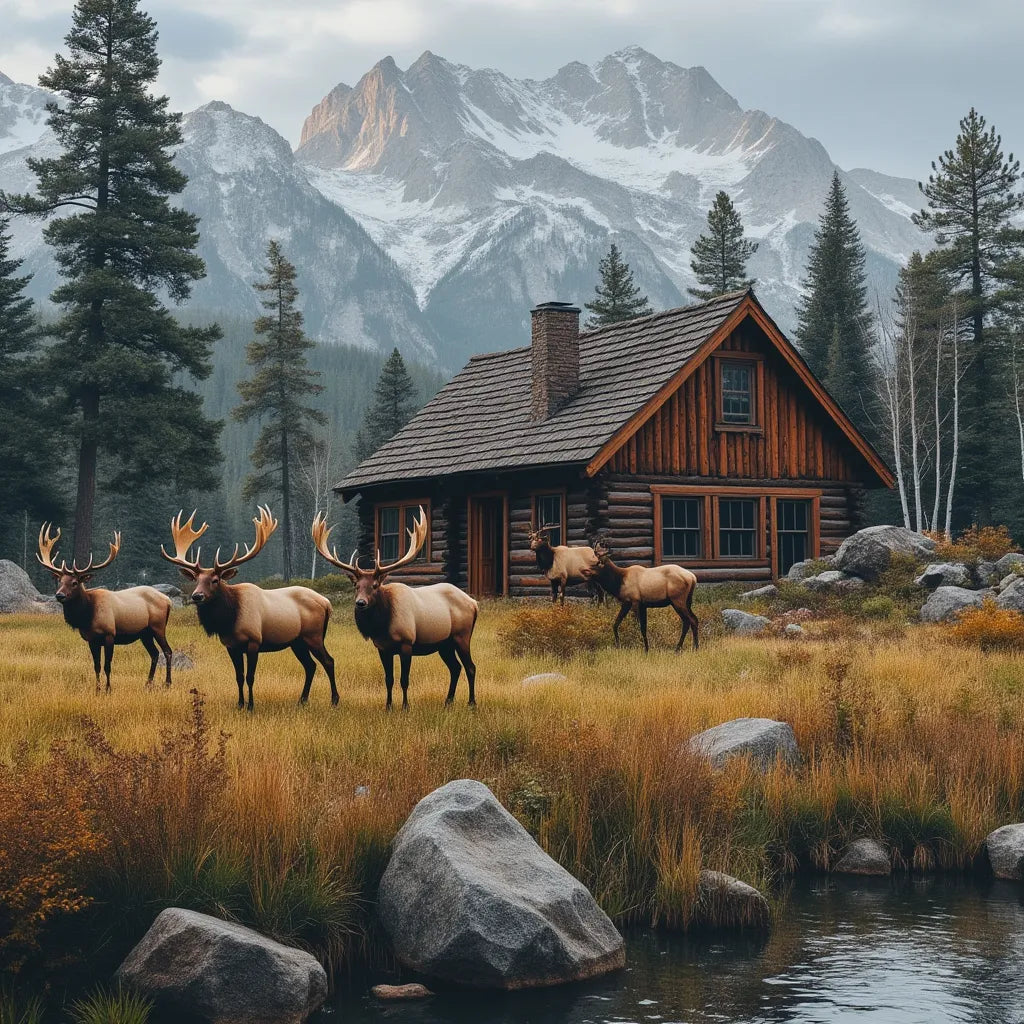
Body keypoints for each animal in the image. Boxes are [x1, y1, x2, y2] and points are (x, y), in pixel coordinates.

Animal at [37, 524, 174, 692]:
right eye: (60, 581)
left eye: (75, 582)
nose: (59, 595)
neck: (86, 616)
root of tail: (168, 600)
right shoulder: (92, 639)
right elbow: (96, 666)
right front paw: (97, 689)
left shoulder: (109, 634)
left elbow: (107, 666)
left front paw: (108, 689)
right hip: (144, 633)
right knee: (154, 653)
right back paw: (147, 683)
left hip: (158, 626)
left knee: (167, 651)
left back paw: (167, 683)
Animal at [160, 506, 338, 711]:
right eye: (197, 579)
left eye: (215, 580)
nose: (197, 596)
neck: (229, 620)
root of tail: (326, 603)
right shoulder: (231, 646)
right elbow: (238, 677)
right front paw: (239, 704)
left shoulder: (254, 642)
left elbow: (250, 677)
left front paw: (251, 706)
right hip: (297, 641)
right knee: (310, 666)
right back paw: (302, 700)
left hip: (313, 636)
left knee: (328, 661)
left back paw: (334, 700)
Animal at [312, 507, 479, 710]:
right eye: (356, 586)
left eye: (375, 585)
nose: (360, 603)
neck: (382, 626)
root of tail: (474, 604)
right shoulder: (383, 648)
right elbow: (389, 679)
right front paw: (388, 706)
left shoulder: (407, 643)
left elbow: (404, 680)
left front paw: (405, 706)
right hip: (444, 643)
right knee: (455, 668)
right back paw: (448, 701)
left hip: (462, 636)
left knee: (470, 667)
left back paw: (471, 703)